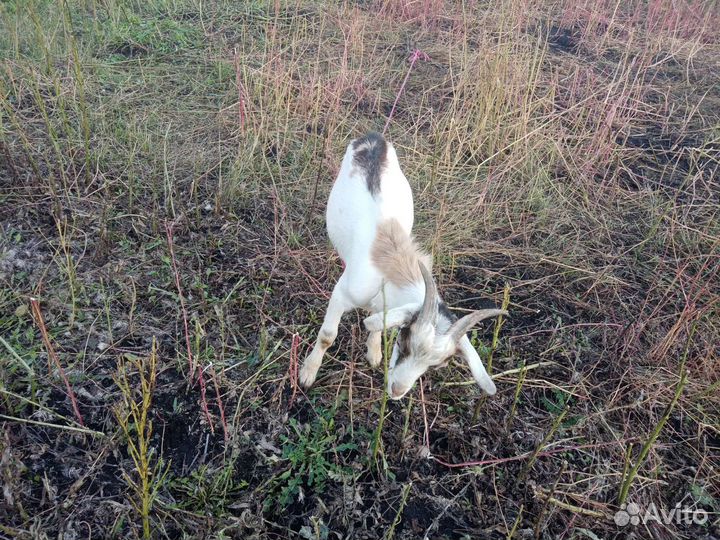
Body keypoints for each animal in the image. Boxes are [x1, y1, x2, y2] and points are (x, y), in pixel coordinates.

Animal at [300, 132, 507, 399]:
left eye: (435, 365)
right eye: (403, 342)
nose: (397, 390)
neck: (389, 272)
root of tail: (374, 138)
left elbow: (378, 319)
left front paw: (374, 353)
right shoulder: (343, 294)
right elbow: (327, 336)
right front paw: (307, 375)